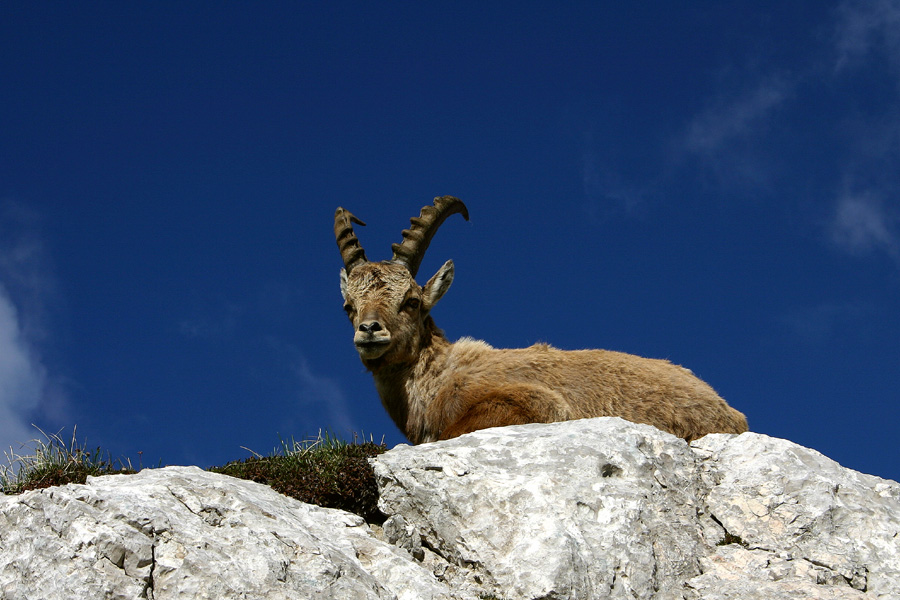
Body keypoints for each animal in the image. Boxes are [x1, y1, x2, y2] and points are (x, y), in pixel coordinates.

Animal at [335, 196, 748, 443]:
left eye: (412, 301)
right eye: (348, 306)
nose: (369, 331)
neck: (436, 378)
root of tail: (731, 412)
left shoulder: (536, 404)